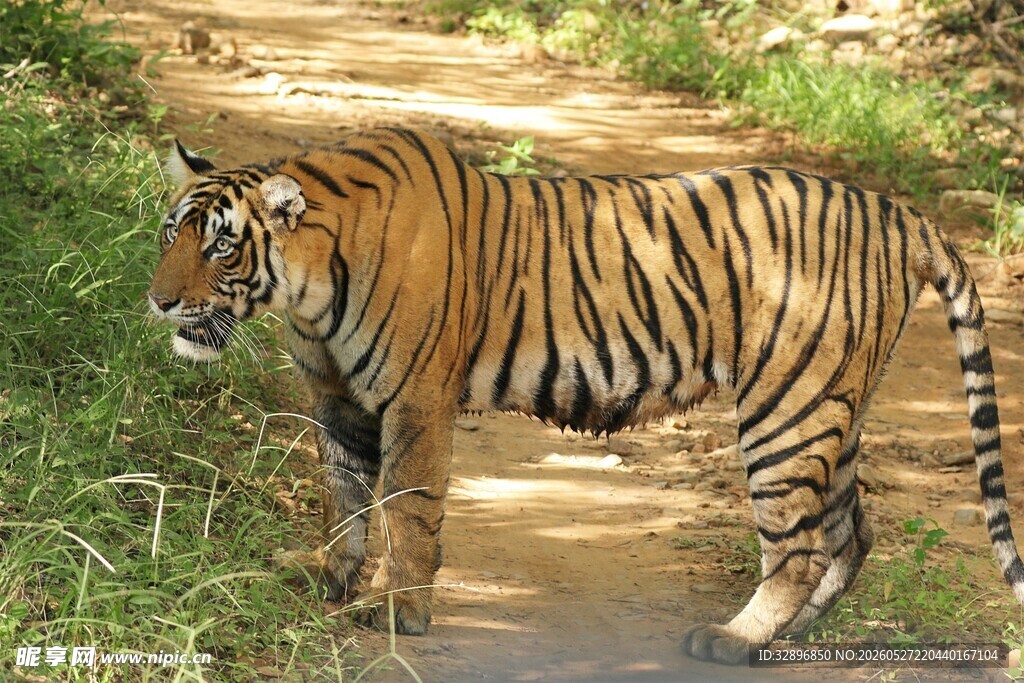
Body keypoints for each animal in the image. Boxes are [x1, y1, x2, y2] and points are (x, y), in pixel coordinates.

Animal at [148, 127, 1024, 664]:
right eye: (169, 232)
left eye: (221, 246)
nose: (159, 301)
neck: (303, 290)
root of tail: (899, 215)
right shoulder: (337, 399)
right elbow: (343, 497)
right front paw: (328, 579)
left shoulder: (416, 400)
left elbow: (408, 507)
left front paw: (402, 613)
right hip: (830, 406)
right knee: (850, 530)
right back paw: (785, 639)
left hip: (789, 406)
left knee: (801, 543)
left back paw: (734, 639)